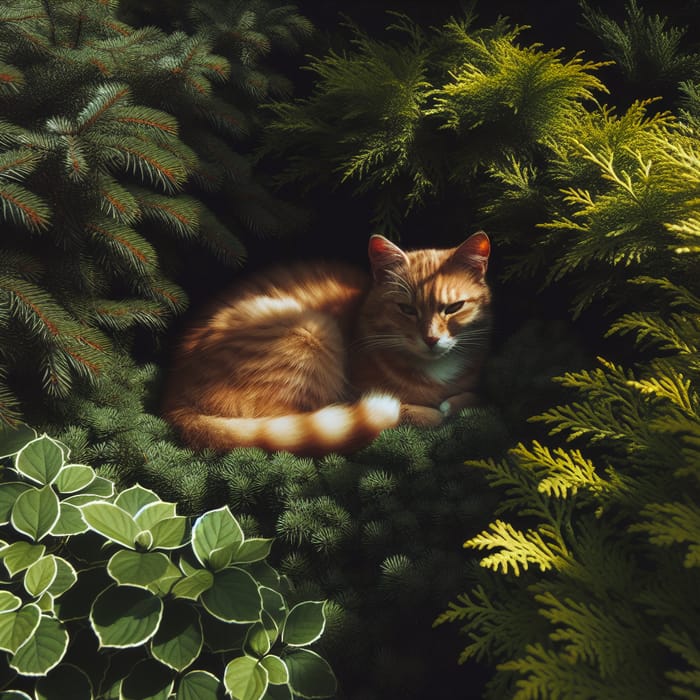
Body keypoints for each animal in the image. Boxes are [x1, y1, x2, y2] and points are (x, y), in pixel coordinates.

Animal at [163, 232, 492, 456]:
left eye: (453, 307)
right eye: (406, 309)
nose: (431, 339)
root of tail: (174, 396)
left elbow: (473, 397)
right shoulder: (360, 391)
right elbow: (419, 409)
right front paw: (434, 411)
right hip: (313, 329)